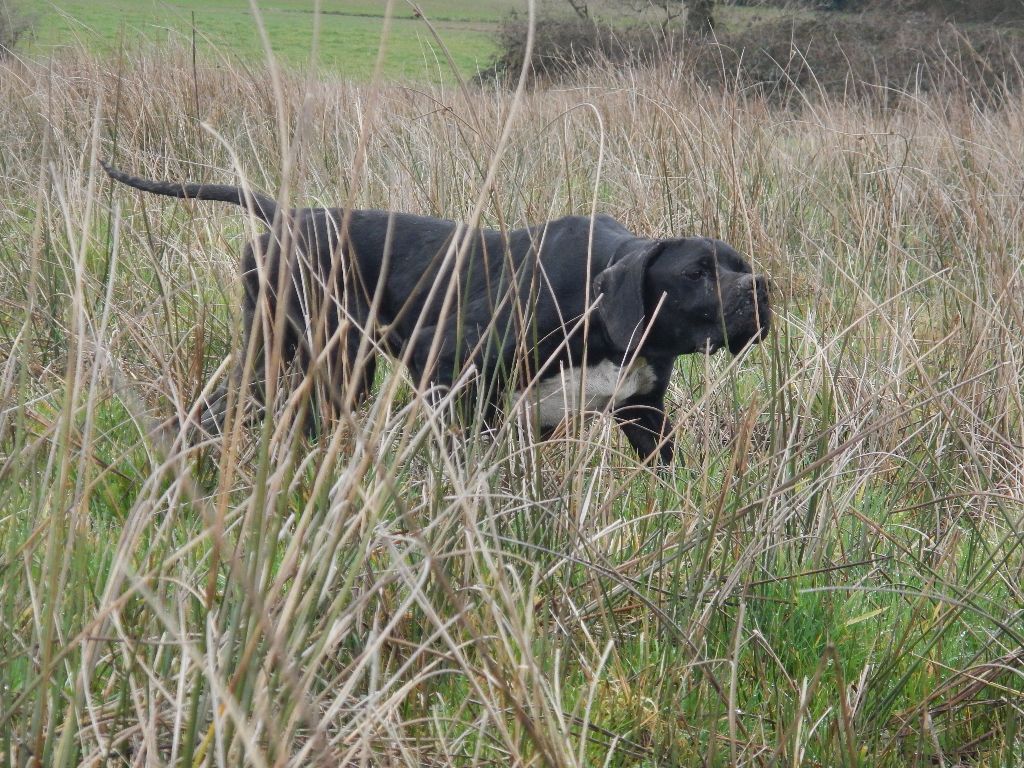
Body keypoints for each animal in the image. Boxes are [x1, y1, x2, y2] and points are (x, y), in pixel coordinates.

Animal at [103, 161, 770, 462]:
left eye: (740, 262)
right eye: (696, 272)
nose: (762, 289)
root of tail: (286, 216)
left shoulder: (643, 416)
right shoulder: (445, 363)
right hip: (317, 356)